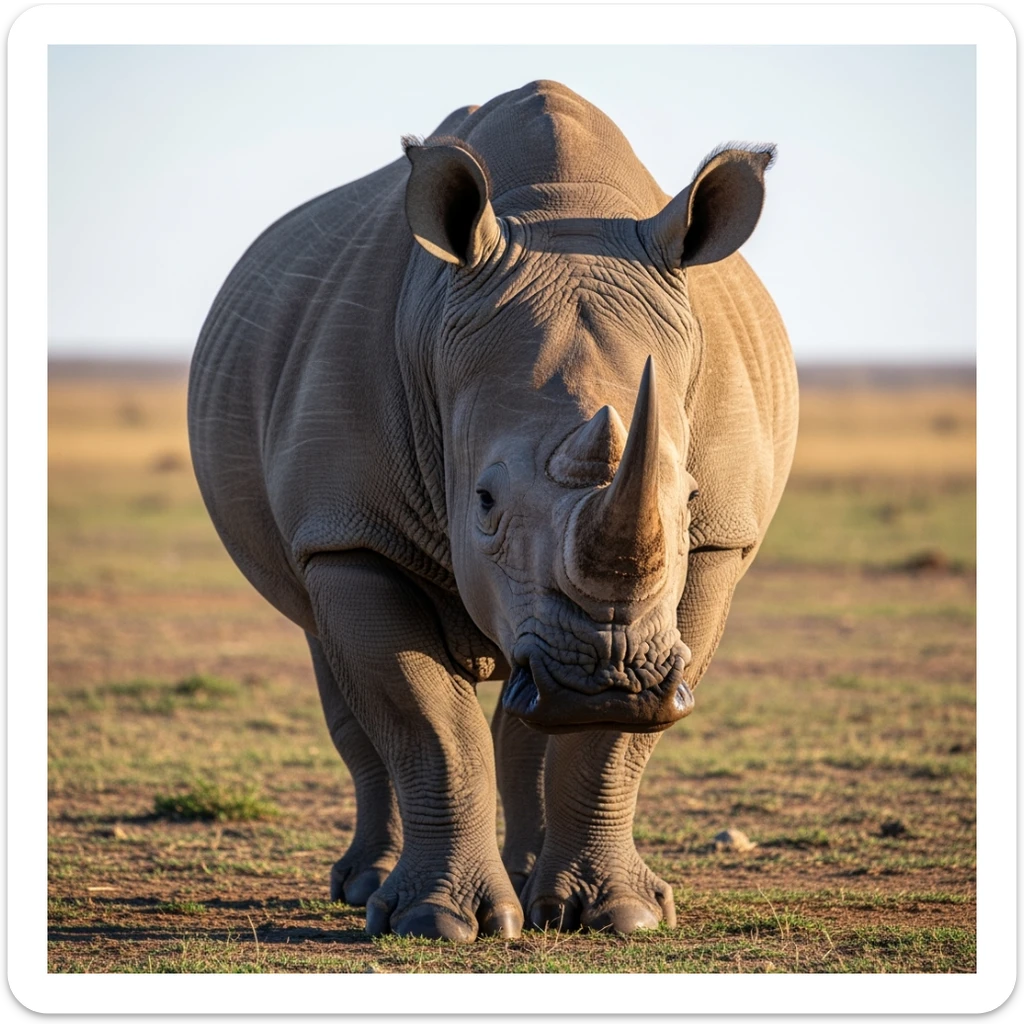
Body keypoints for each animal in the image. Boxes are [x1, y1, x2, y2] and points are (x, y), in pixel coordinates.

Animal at [188, 80, 798, 941]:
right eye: (482, 501)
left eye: (687, 498)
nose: (605, 679)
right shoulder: (351, 533)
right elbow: (427, 723)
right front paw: (435, 923)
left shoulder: (718, 545)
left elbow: (609, 746)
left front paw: (620, 917)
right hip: (319, 516)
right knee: (337, 667)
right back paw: (363, 886)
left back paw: (535, 881)